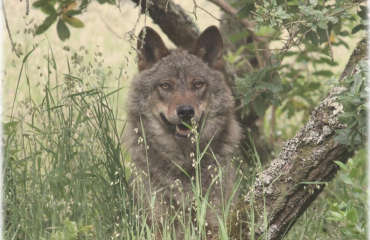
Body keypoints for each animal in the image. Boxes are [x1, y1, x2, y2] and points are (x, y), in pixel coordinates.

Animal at [124, 25, 243, 239]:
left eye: (197, 84)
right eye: (166, 85)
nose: (186, 111)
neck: (184, 161)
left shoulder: (214, 223)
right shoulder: (158, 224)